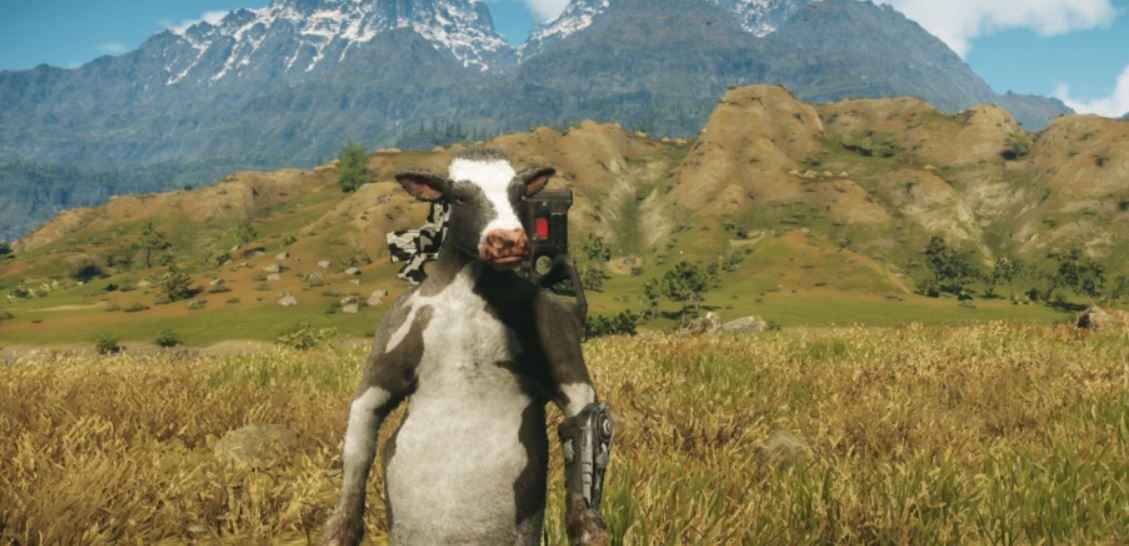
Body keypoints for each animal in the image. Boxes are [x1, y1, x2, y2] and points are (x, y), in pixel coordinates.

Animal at [323, 148, 613, 546]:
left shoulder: (558, 335)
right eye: (458, 196)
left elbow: (582, 415)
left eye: (520, 193)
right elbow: (361, 432)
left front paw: (586, 523)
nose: (507, 240)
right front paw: (342, 526)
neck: (468, 294)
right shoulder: (392, 333)